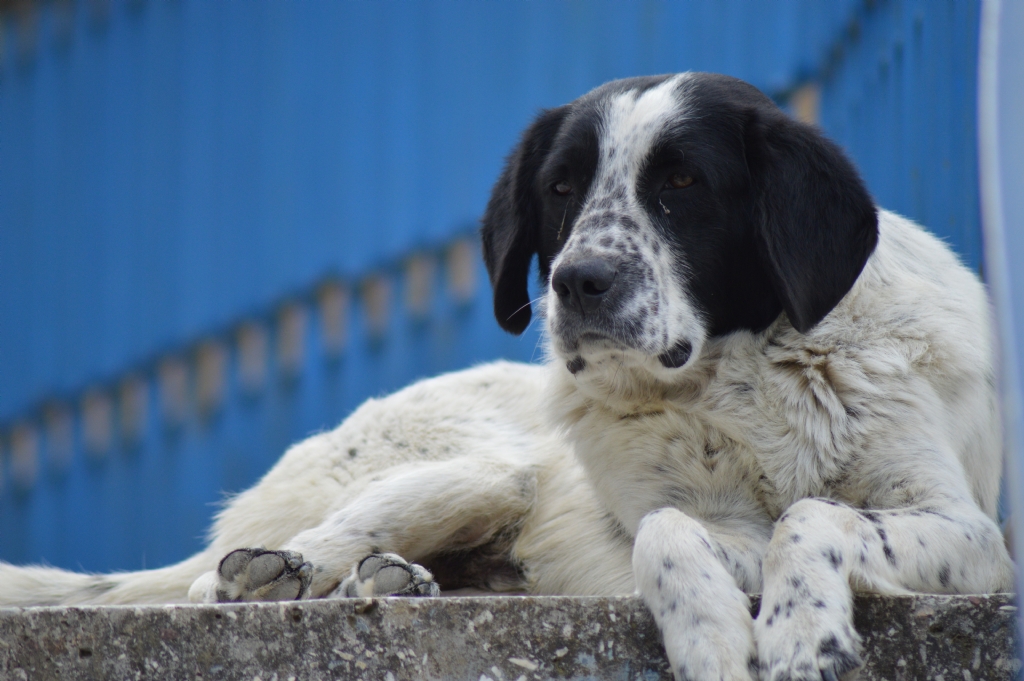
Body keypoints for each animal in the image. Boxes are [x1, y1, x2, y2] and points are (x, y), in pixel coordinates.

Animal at [0, 73, 1011, 679]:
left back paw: (394, 579)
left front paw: (803, 628)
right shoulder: (674, 519)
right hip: (479, 468)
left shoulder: (975, 535)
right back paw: (278, 573)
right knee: (233, 571)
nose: (577, 280)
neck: (741, 373)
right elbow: (669, 530)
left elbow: (815, 512)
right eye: (561, 188)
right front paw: (715, 639)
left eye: (683, 183)